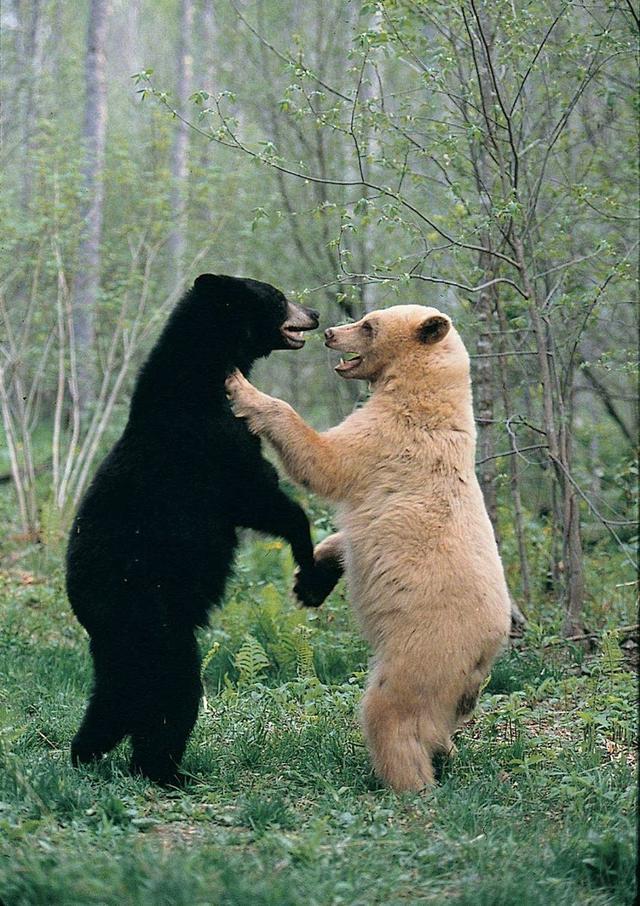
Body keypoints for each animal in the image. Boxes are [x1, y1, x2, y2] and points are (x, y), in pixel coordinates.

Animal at [67, 272, 324, 780]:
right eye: (278, 296)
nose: (314, 313)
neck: (202, 376)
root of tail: (83, 606)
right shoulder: (213, 443)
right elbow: (257, 495)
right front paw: (308, 571)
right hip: (149, 614)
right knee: (173, 690)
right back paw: (164, 771)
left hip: (121, 642)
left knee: (114, 697)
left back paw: (86, 752)